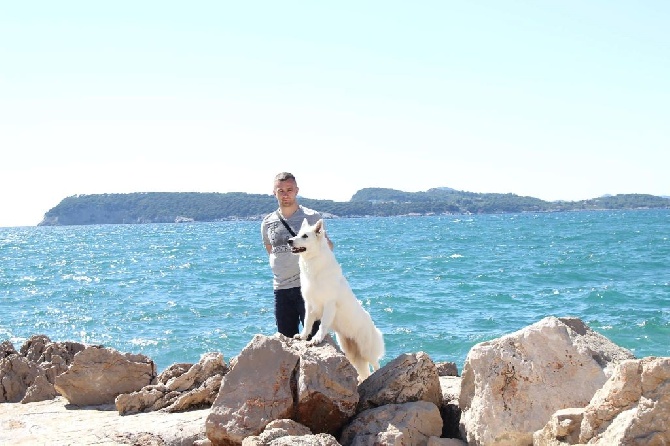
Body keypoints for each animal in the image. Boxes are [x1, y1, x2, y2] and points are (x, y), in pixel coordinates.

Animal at [286, 218, 386, 382]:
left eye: (305, 236)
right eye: (297, 234)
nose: (289, 241)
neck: (314, 266)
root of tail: (371, 323)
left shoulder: (329, 304)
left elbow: (322, 325)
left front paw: (316, 339)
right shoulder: (309, 305)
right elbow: (307, 323)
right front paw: (303, 336)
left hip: (366, 350)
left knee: (376, 364)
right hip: (351, 353)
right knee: (364, 371)